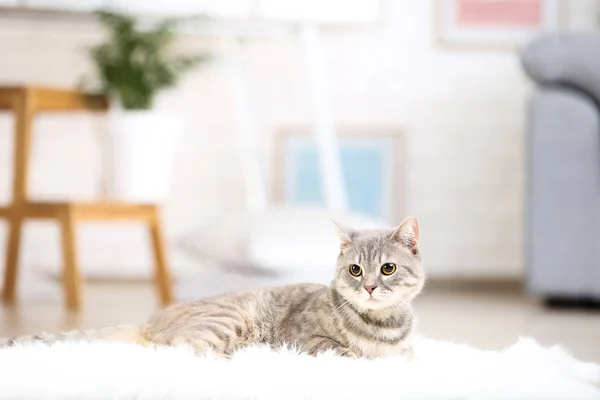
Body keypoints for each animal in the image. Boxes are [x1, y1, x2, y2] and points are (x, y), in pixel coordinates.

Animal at [1, 217, 422, 358]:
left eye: (387, 268)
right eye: (355, 270)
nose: (369, 287)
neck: (382, 327)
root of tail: (150, 320)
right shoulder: (308, 340)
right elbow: (347, 353)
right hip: (225, 322)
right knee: (177, 351)